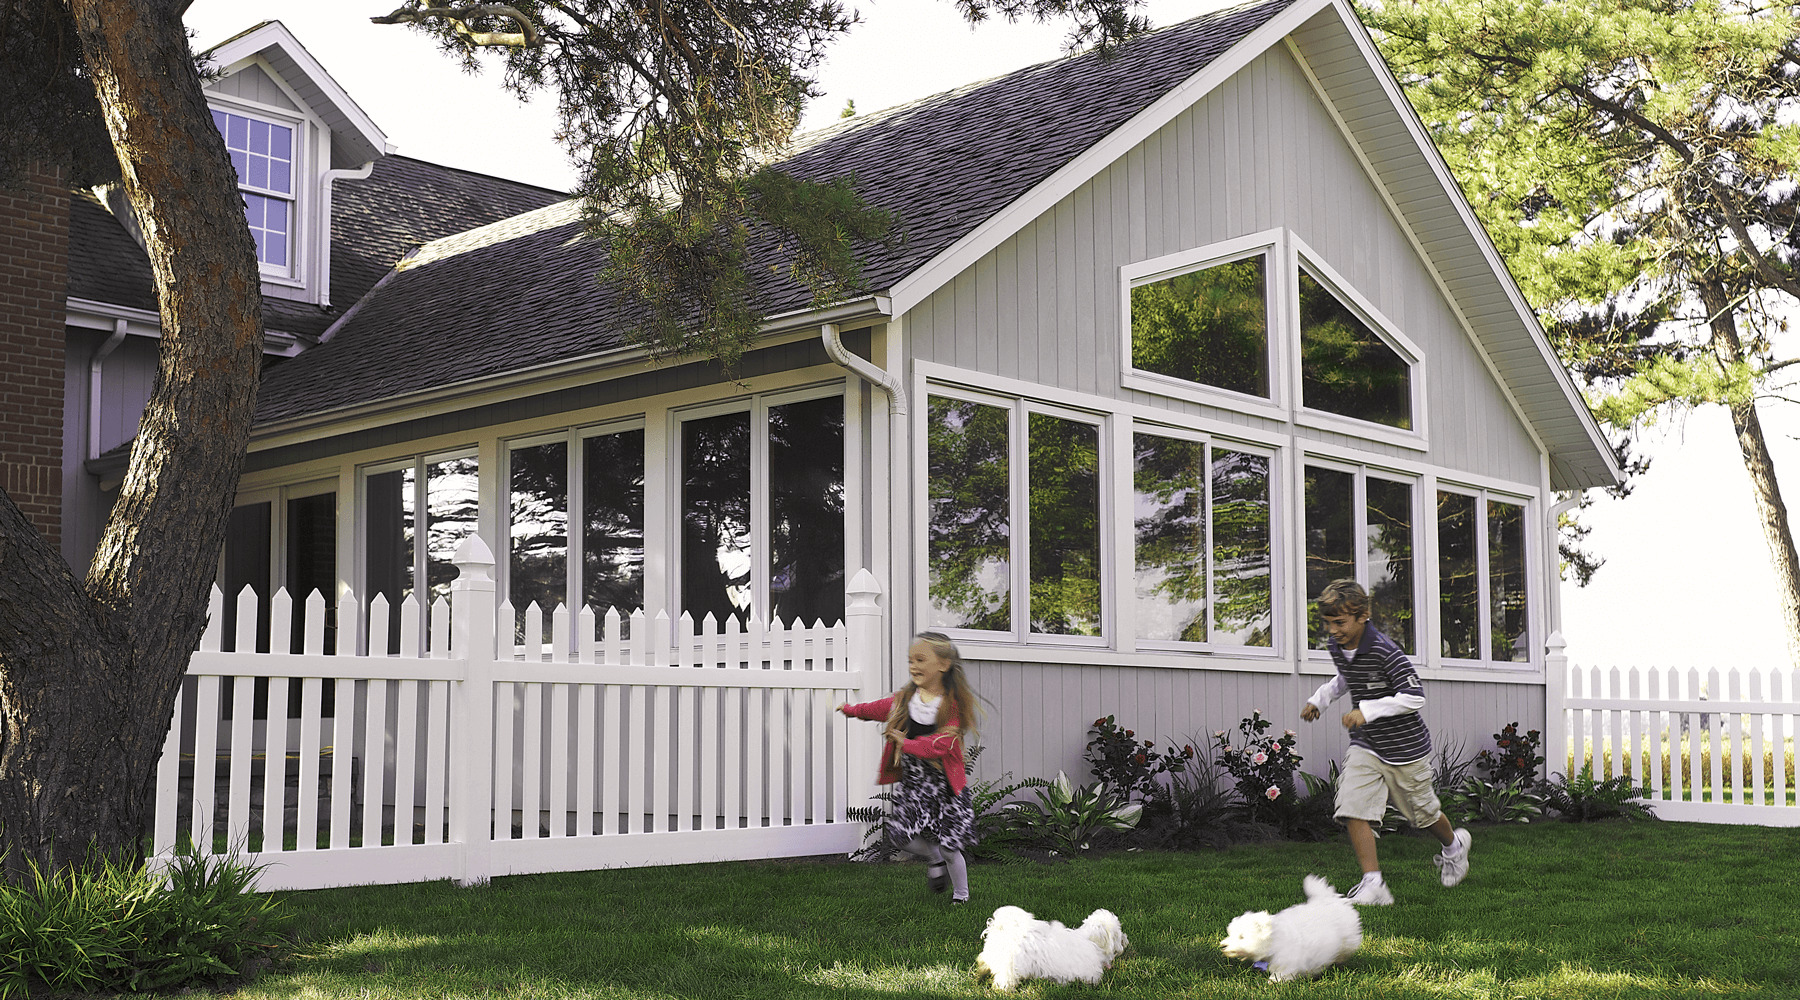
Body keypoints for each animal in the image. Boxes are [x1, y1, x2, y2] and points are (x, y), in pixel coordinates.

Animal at [1224, 874, 1360, 985]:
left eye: (1242, 937)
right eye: (1230, 934)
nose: (1223, 945)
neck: (1274, 940)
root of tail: (1328, 898)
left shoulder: (1289, 960)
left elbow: (1283, 972)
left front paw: (1274, 981)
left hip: (1348, 938)